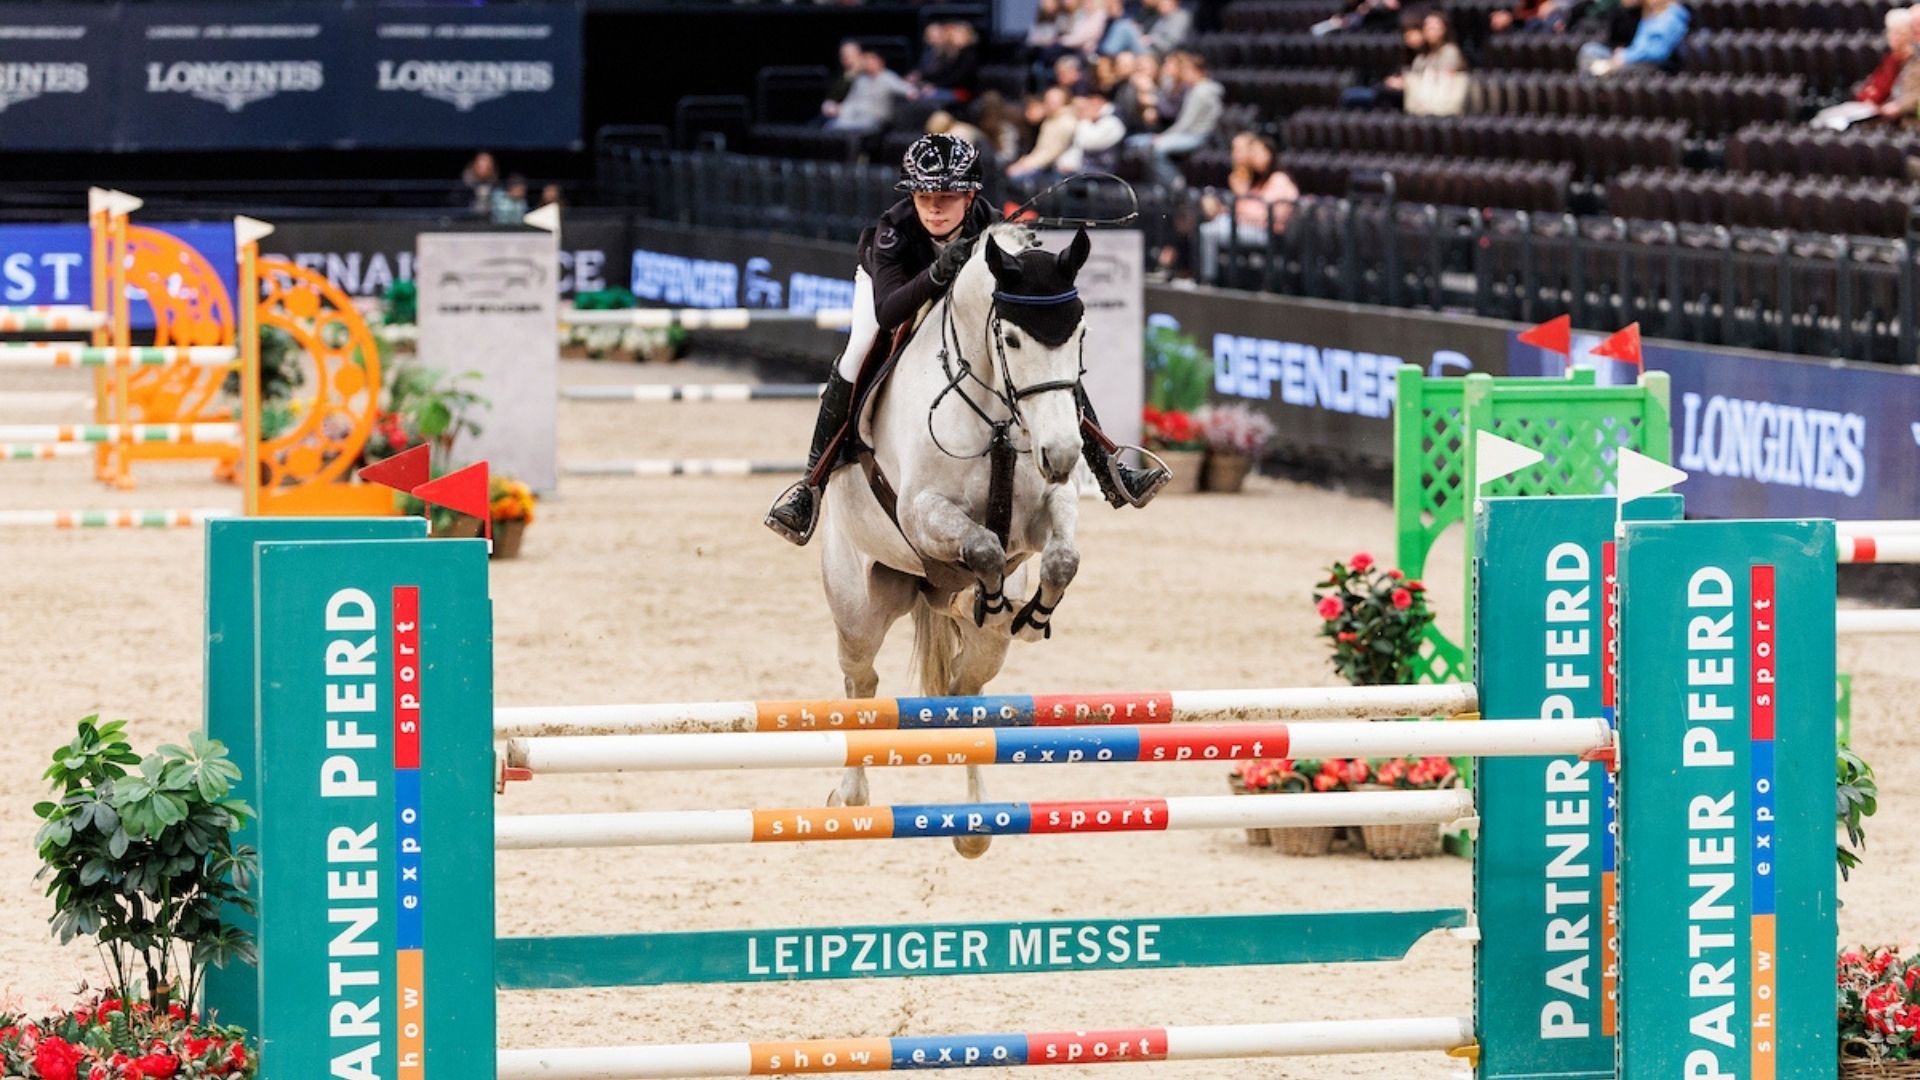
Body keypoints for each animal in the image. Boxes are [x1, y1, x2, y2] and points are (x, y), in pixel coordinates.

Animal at [817, 222, 1093, 858]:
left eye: (1080, 333)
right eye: (1010, 339)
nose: (1063, 453)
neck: (996, 416)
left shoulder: (1049, 507)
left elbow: (1061, 559)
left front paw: (1030, 614)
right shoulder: (921, 511)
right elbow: (983, 546)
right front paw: (987, 597)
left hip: (980, 651)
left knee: (966, 693)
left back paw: (975, 826)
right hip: (859, 605)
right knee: (861, 681)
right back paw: (851, 796)